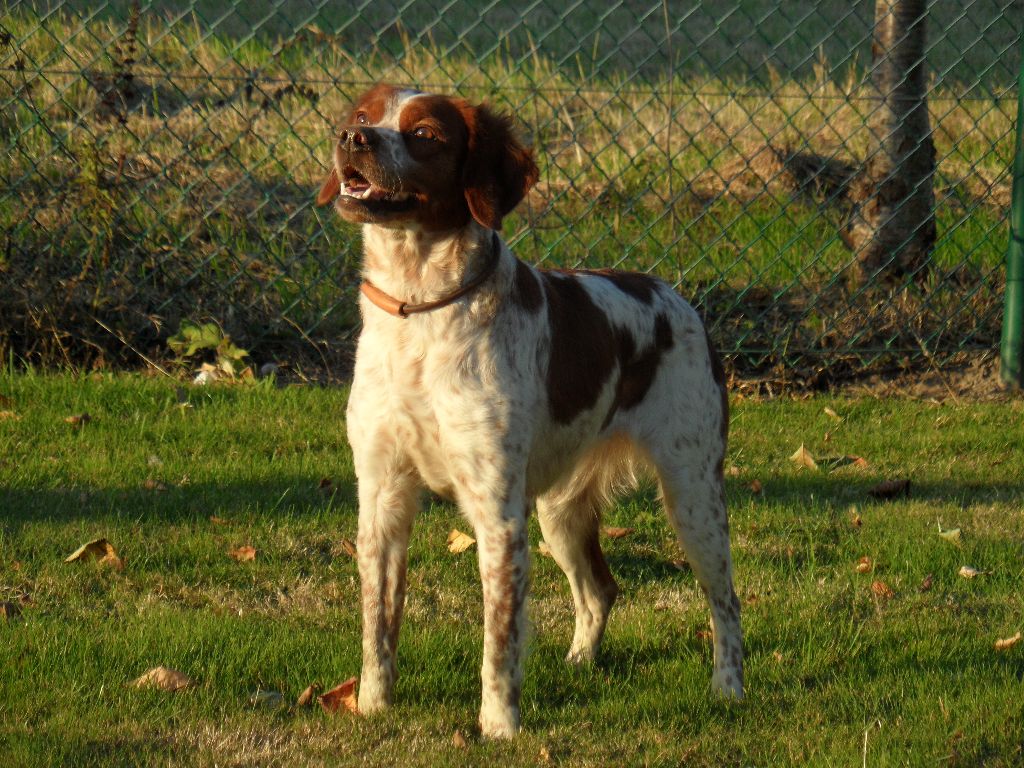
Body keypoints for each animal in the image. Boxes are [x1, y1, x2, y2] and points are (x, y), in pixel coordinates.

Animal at [315, 83, 741, 741]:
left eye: (425, 135)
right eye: (362, 117)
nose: (353, 140)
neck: (421, 308)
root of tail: (675, 296)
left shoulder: (498, 516)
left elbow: (499, 641)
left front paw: (498, 727)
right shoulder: (382, 498)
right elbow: (378, 626)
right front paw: (372, 706)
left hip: (692, 495)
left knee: (725, 602)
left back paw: (729, 688)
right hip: (559, 509)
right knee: (601, 589)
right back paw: (580, 662)